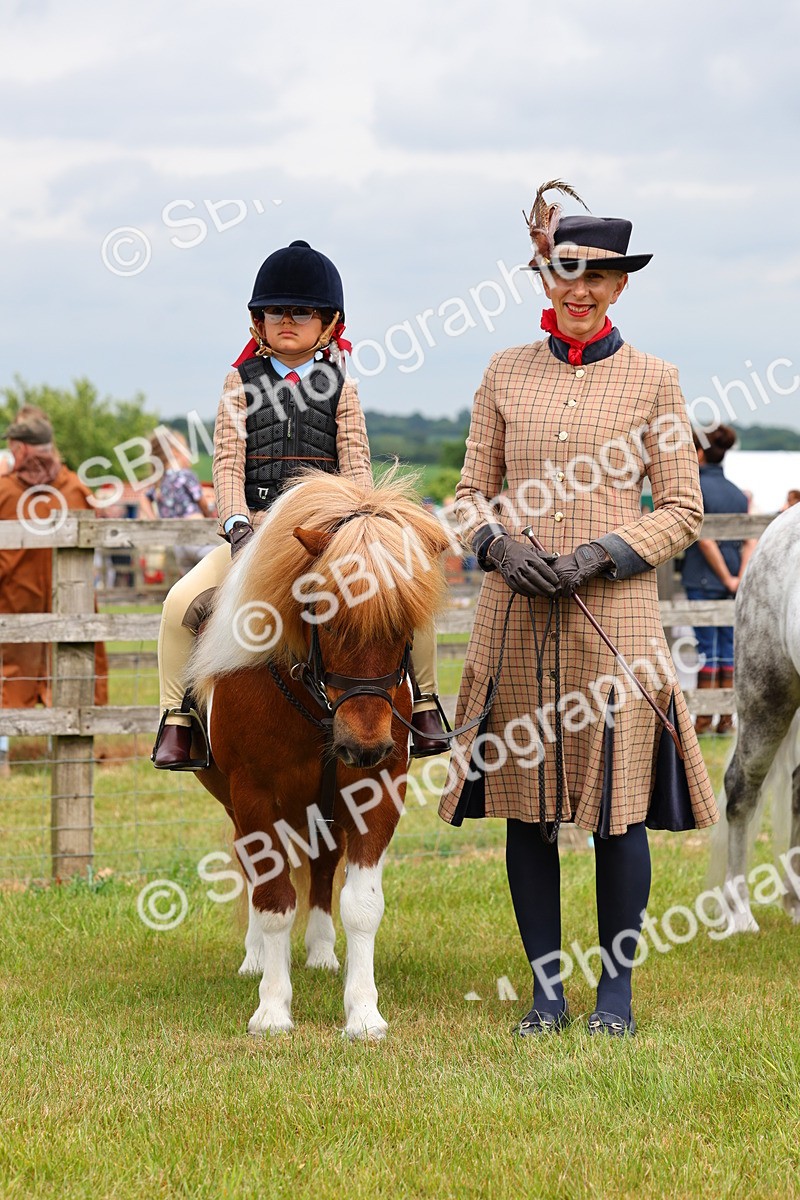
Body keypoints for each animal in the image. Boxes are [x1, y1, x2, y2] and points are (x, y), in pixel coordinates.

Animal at [186, 469, 450, 1037]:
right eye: (324, 617)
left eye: (404, 628)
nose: (363, 746)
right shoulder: (254, 796)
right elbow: (272, 901)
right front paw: (271, 1009)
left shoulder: (376, 791)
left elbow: (362, 904)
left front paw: (363, 1012)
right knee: (253, 867)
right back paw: (257, 958)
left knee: (325, 864)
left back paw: (324, 953)